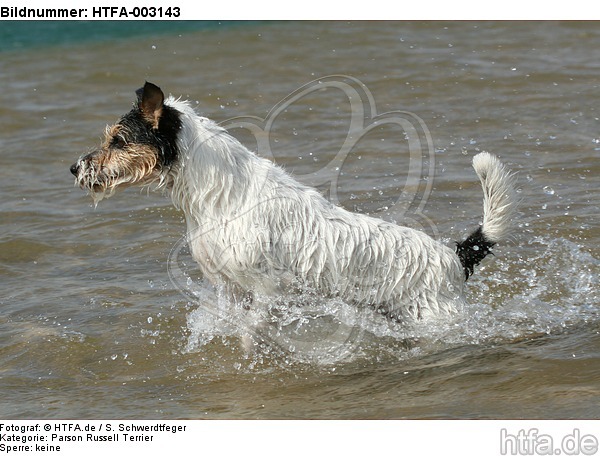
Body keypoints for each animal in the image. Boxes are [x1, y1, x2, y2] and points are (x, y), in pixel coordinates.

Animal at [70, 83, 516, 324]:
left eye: (118, 141)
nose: (74, 167)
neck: (216, 194)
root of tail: (454, 257)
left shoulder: (265, 289)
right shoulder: (229, 288)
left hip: (436, 320)